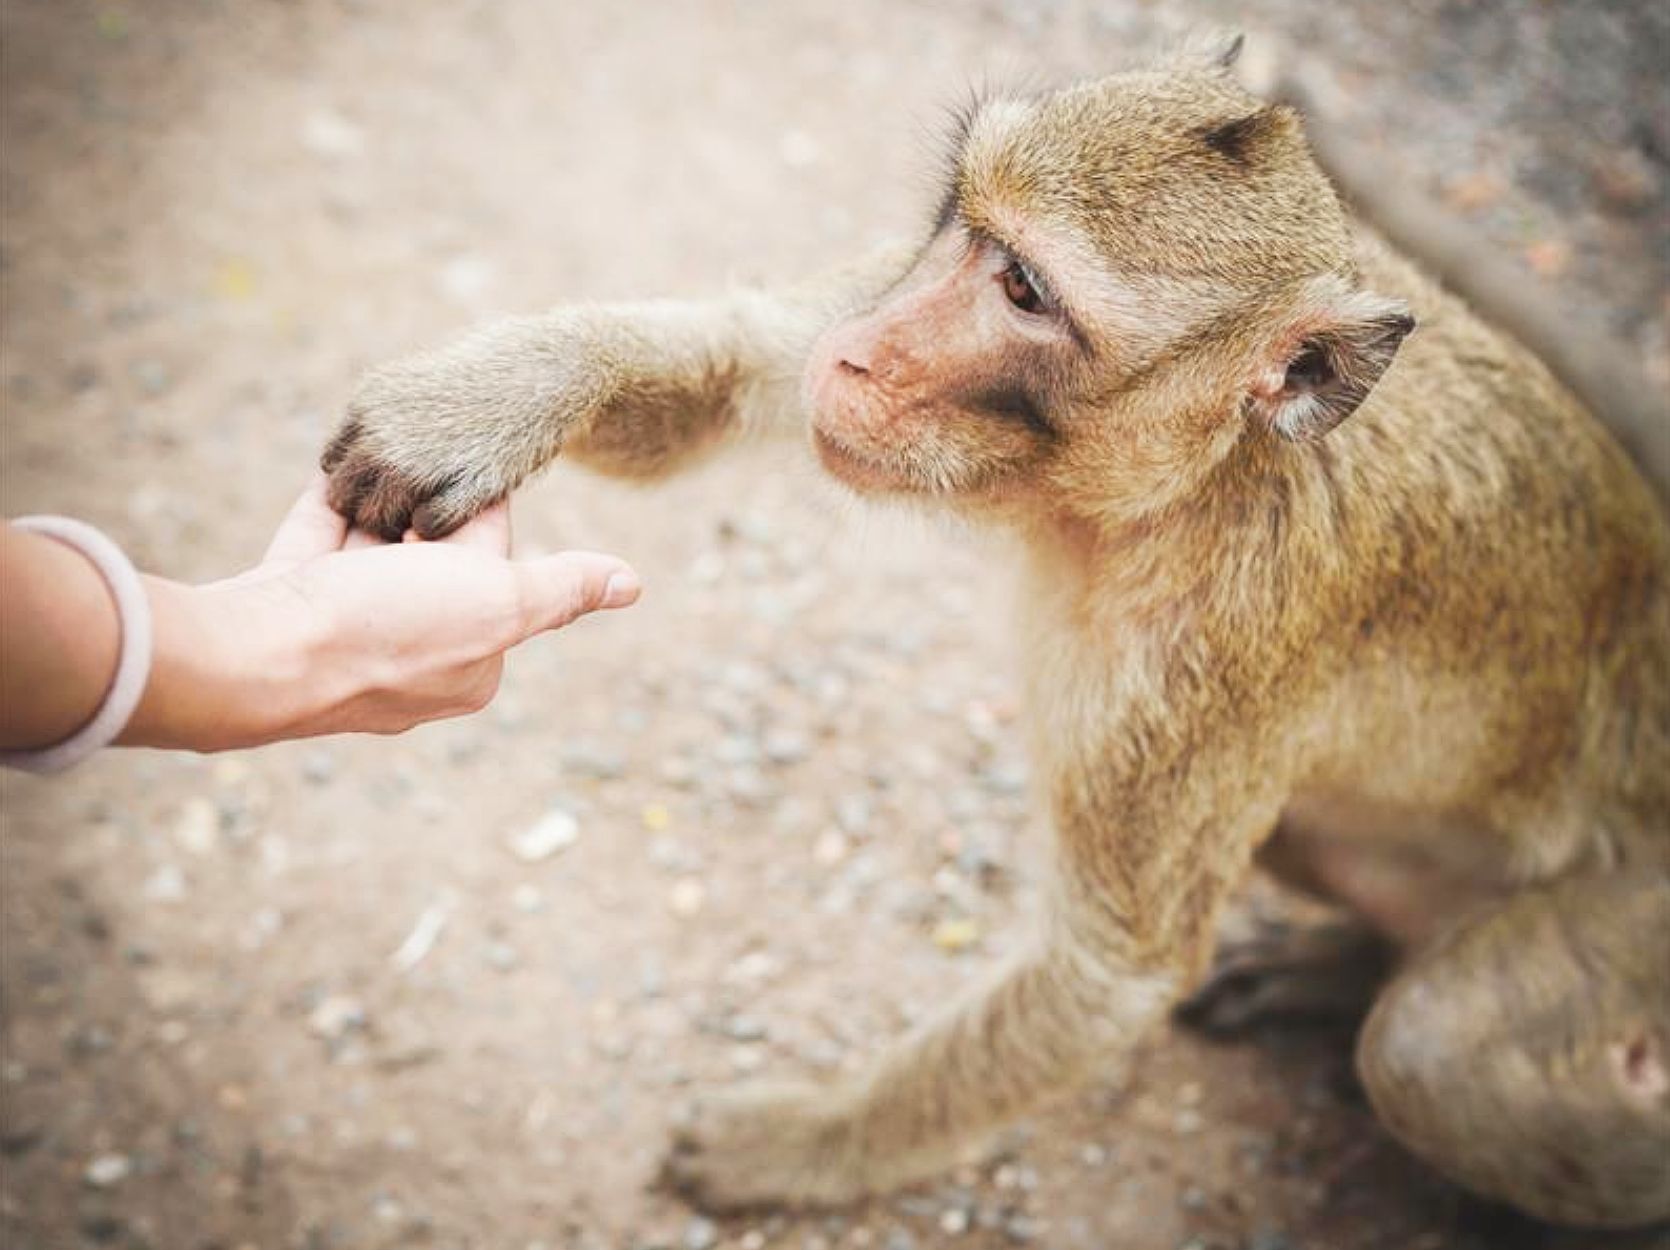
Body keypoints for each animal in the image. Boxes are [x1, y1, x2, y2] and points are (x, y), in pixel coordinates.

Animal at [320, 37, 1670, 1229]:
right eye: (967, 234)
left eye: (1024, 293)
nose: (861, 352)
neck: (1176, 490)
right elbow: (742, 352)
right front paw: (494, 401)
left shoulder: (1204, 658)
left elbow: (1106, 970)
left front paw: (795, 1141)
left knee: (1434, 1053)